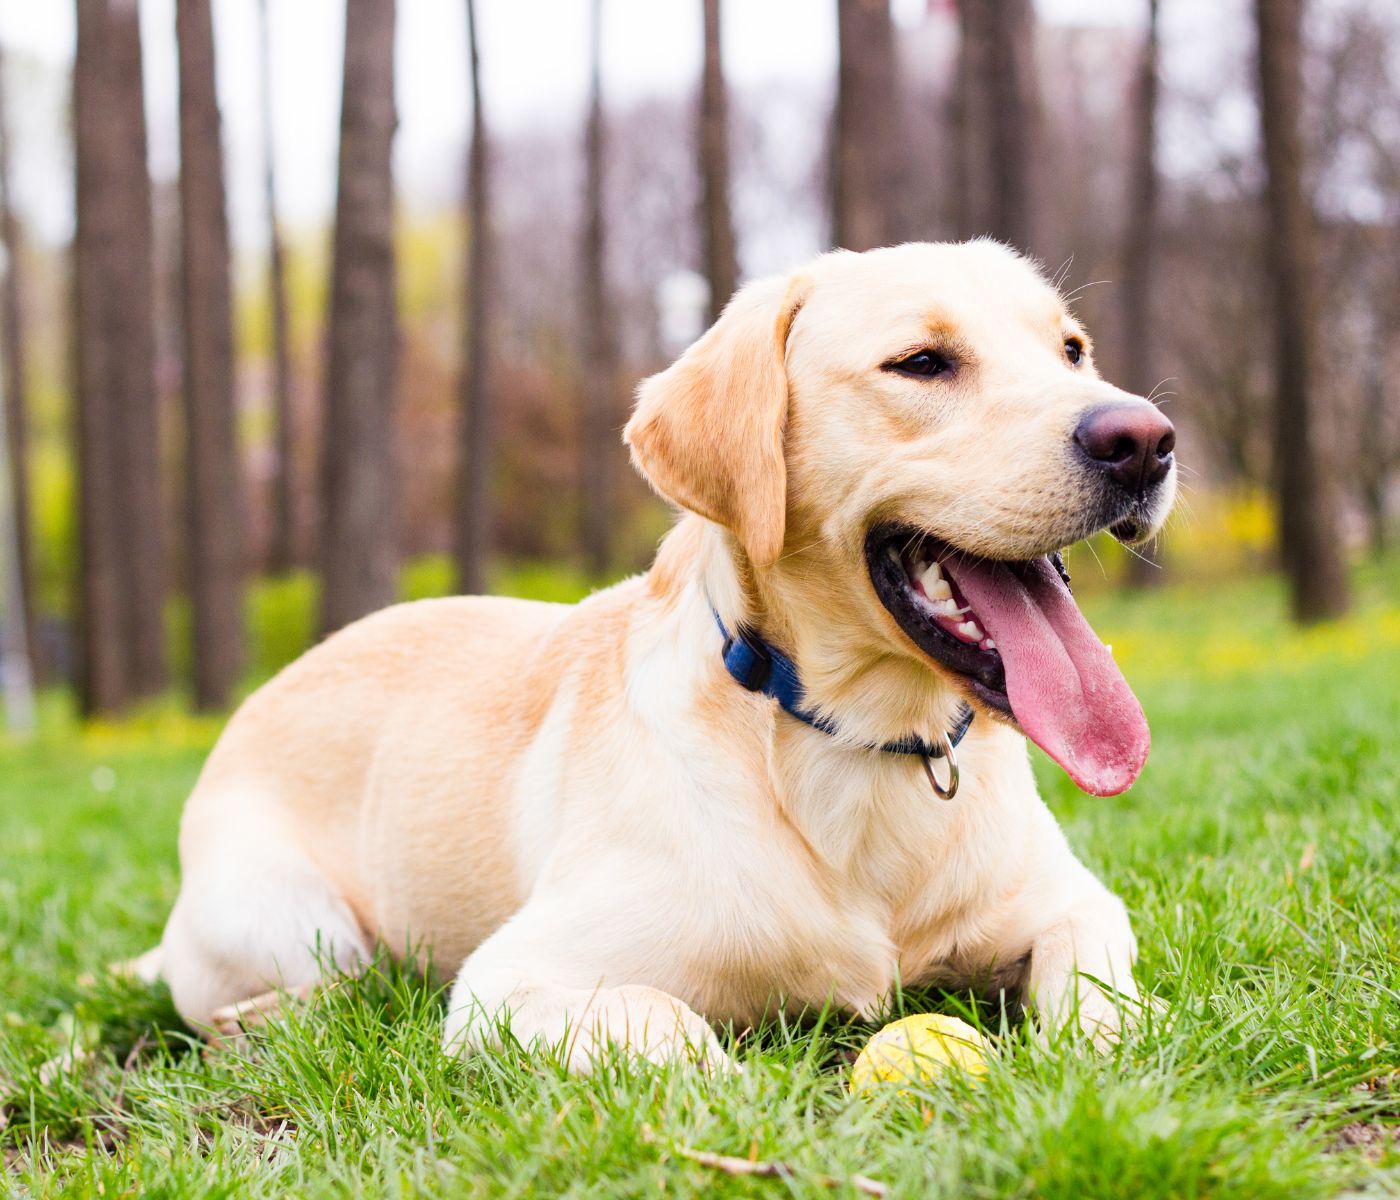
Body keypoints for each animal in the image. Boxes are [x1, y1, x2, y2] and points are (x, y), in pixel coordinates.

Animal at [139, 240, 1170, 1069]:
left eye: (1071, 350)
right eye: (921, 363)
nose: (1144, 439)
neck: (857, 741)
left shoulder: (1072, 901)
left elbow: (1097, 981)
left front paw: (1116, 1037)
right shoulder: (510, 983)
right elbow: (672, 1025)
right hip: (293, 920)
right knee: (319, 986)